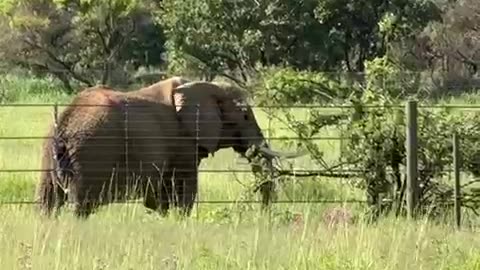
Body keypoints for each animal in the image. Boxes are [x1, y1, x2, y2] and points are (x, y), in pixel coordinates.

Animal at [36, 76, 300, 219]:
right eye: (244, 116)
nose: (263, 214)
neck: (205, 85)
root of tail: (63, 124)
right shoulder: (182, 141)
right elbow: (184, 190)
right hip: (91, 153)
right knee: (79, 205)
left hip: (49, 154)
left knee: (48, 202)